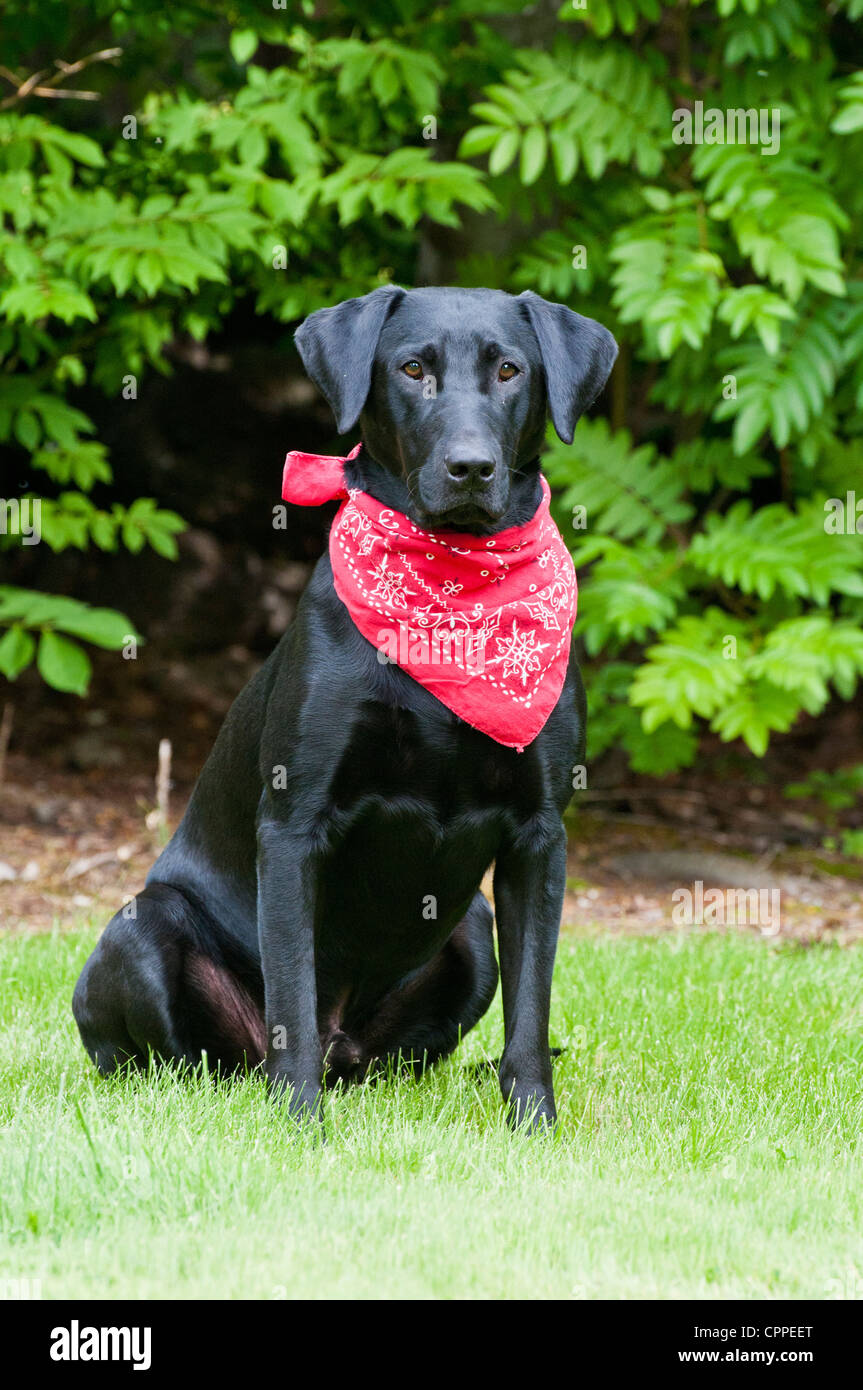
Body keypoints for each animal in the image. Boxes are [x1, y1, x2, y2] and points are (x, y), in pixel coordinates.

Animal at [72, 287, 611, 1134]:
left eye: (509, 371)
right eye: (413, 369)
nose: (470, 468)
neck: (449, 595)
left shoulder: (539, 836)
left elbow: (531, 1010)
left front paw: (534, 1125)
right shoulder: (294, 826)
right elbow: (292, 992)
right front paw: (298, 1124)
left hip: (470, 931)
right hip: (143, 929)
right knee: (187, 1057)